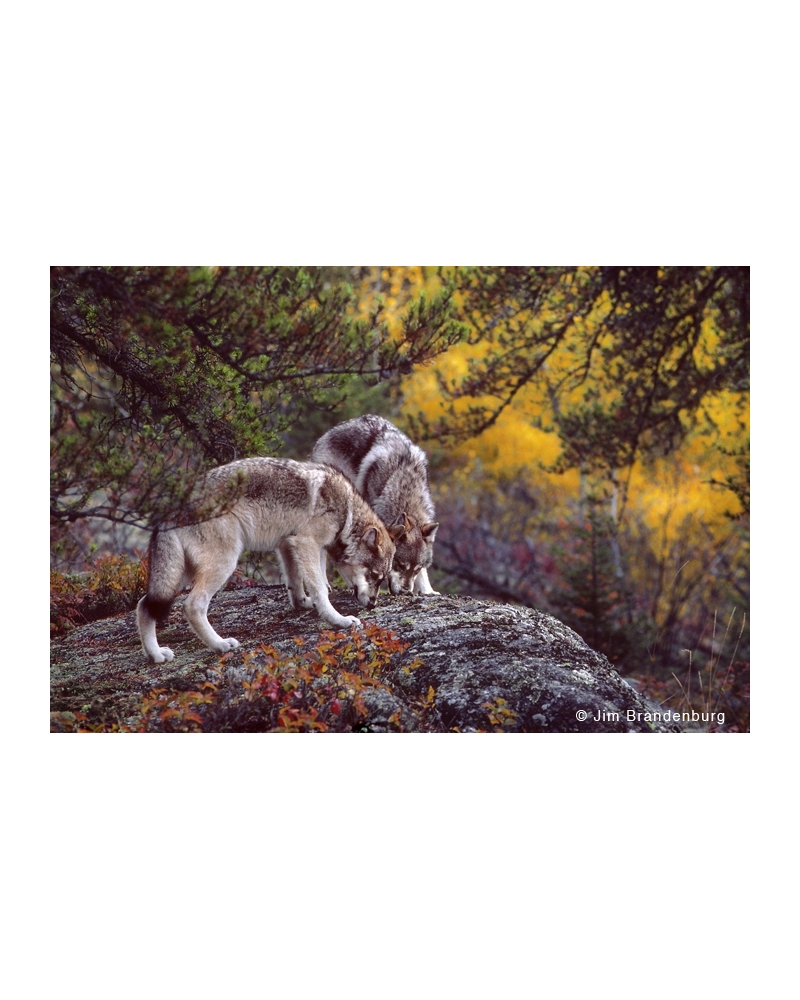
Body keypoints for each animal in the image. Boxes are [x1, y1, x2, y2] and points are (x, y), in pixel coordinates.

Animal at [135, 458, 406, 664]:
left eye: (381, 579)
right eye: (375, 576)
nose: (372, 604)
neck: (346, 512)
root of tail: (173, 504)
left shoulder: (288, 544)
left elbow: (297, 583)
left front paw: (303, 604)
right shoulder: (307, 543)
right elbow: (320, 587)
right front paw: (339, 620)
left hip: (177, 575)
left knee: (143, 604)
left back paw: (156, 655)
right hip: (223, 564)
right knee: (192, 606)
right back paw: (220, 645)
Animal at [310, 412, 438, 592]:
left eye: (416, 568)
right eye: (399, 565)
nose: (406, 591)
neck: (405, 485)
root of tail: (327, 434)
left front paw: (428, 591)